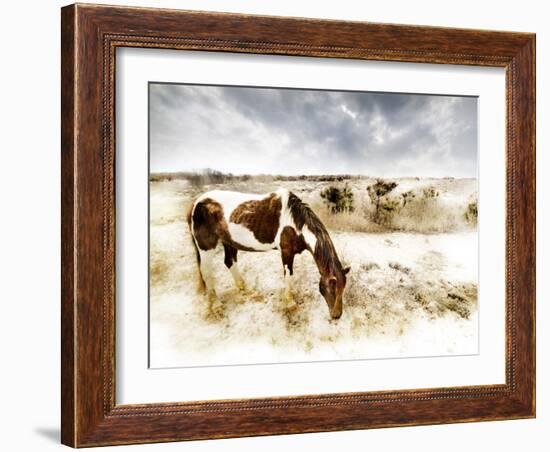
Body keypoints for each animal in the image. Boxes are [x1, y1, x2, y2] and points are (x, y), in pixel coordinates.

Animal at [185, 189, 350, 320]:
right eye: (332, 288)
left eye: (343, 289)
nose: (337, 315)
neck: (295, 222)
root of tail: (195, 203)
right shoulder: (286, 252)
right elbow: (288, 276)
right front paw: (290, 303)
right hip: (206, 247)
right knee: (207, 273)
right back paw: (217, 306)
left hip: (229, 242)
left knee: (230, 262)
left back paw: (245, 289)